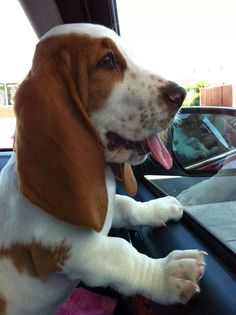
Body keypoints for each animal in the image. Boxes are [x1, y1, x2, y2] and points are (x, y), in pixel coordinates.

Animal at [0, 24, 206, 315]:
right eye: (107, 61)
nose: (181, 94)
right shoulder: (80, 251)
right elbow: (123, 255)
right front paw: (168, 274)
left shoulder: (103, 203)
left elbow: (127, 205)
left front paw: (161, 207)